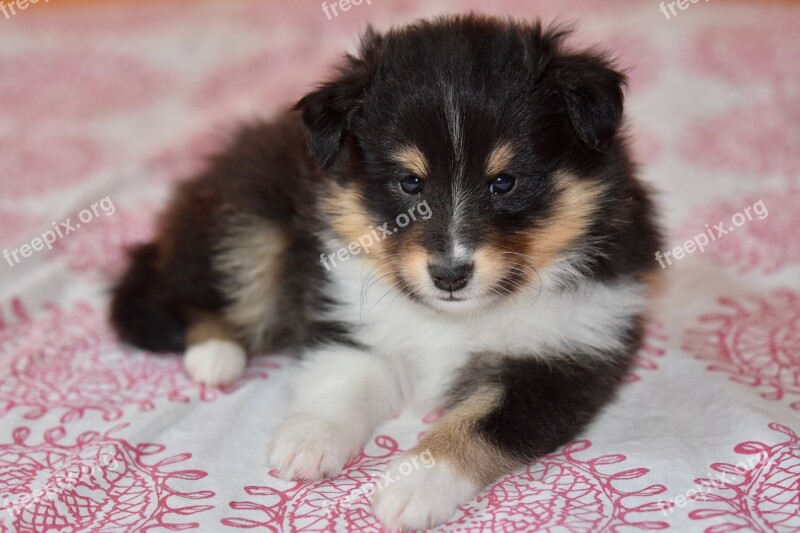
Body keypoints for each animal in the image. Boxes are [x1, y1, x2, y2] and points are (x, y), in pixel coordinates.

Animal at [112, 14, 664, 528]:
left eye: (504, 182)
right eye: (410, 182)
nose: (449, 275)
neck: (455, 318)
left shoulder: (563, 359)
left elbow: (478, 422)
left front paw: (413, 486)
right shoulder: (352, 318)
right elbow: (346, 380)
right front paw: (308, 441)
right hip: (249, 225)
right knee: (189, 289)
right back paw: (216, 353)